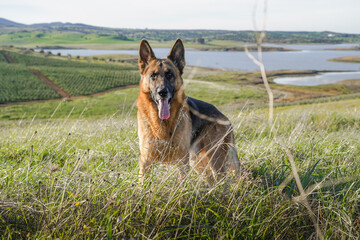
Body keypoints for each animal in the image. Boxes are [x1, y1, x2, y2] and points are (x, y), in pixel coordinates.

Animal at [136, 38, 240, 183]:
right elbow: (142, 184)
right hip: (197, 162)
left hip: (214, 160)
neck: (162, 124)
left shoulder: (182, 162)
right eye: (153, 75)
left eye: (170, 75)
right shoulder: (145, 161)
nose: (162, 92)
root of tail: (224, 117)